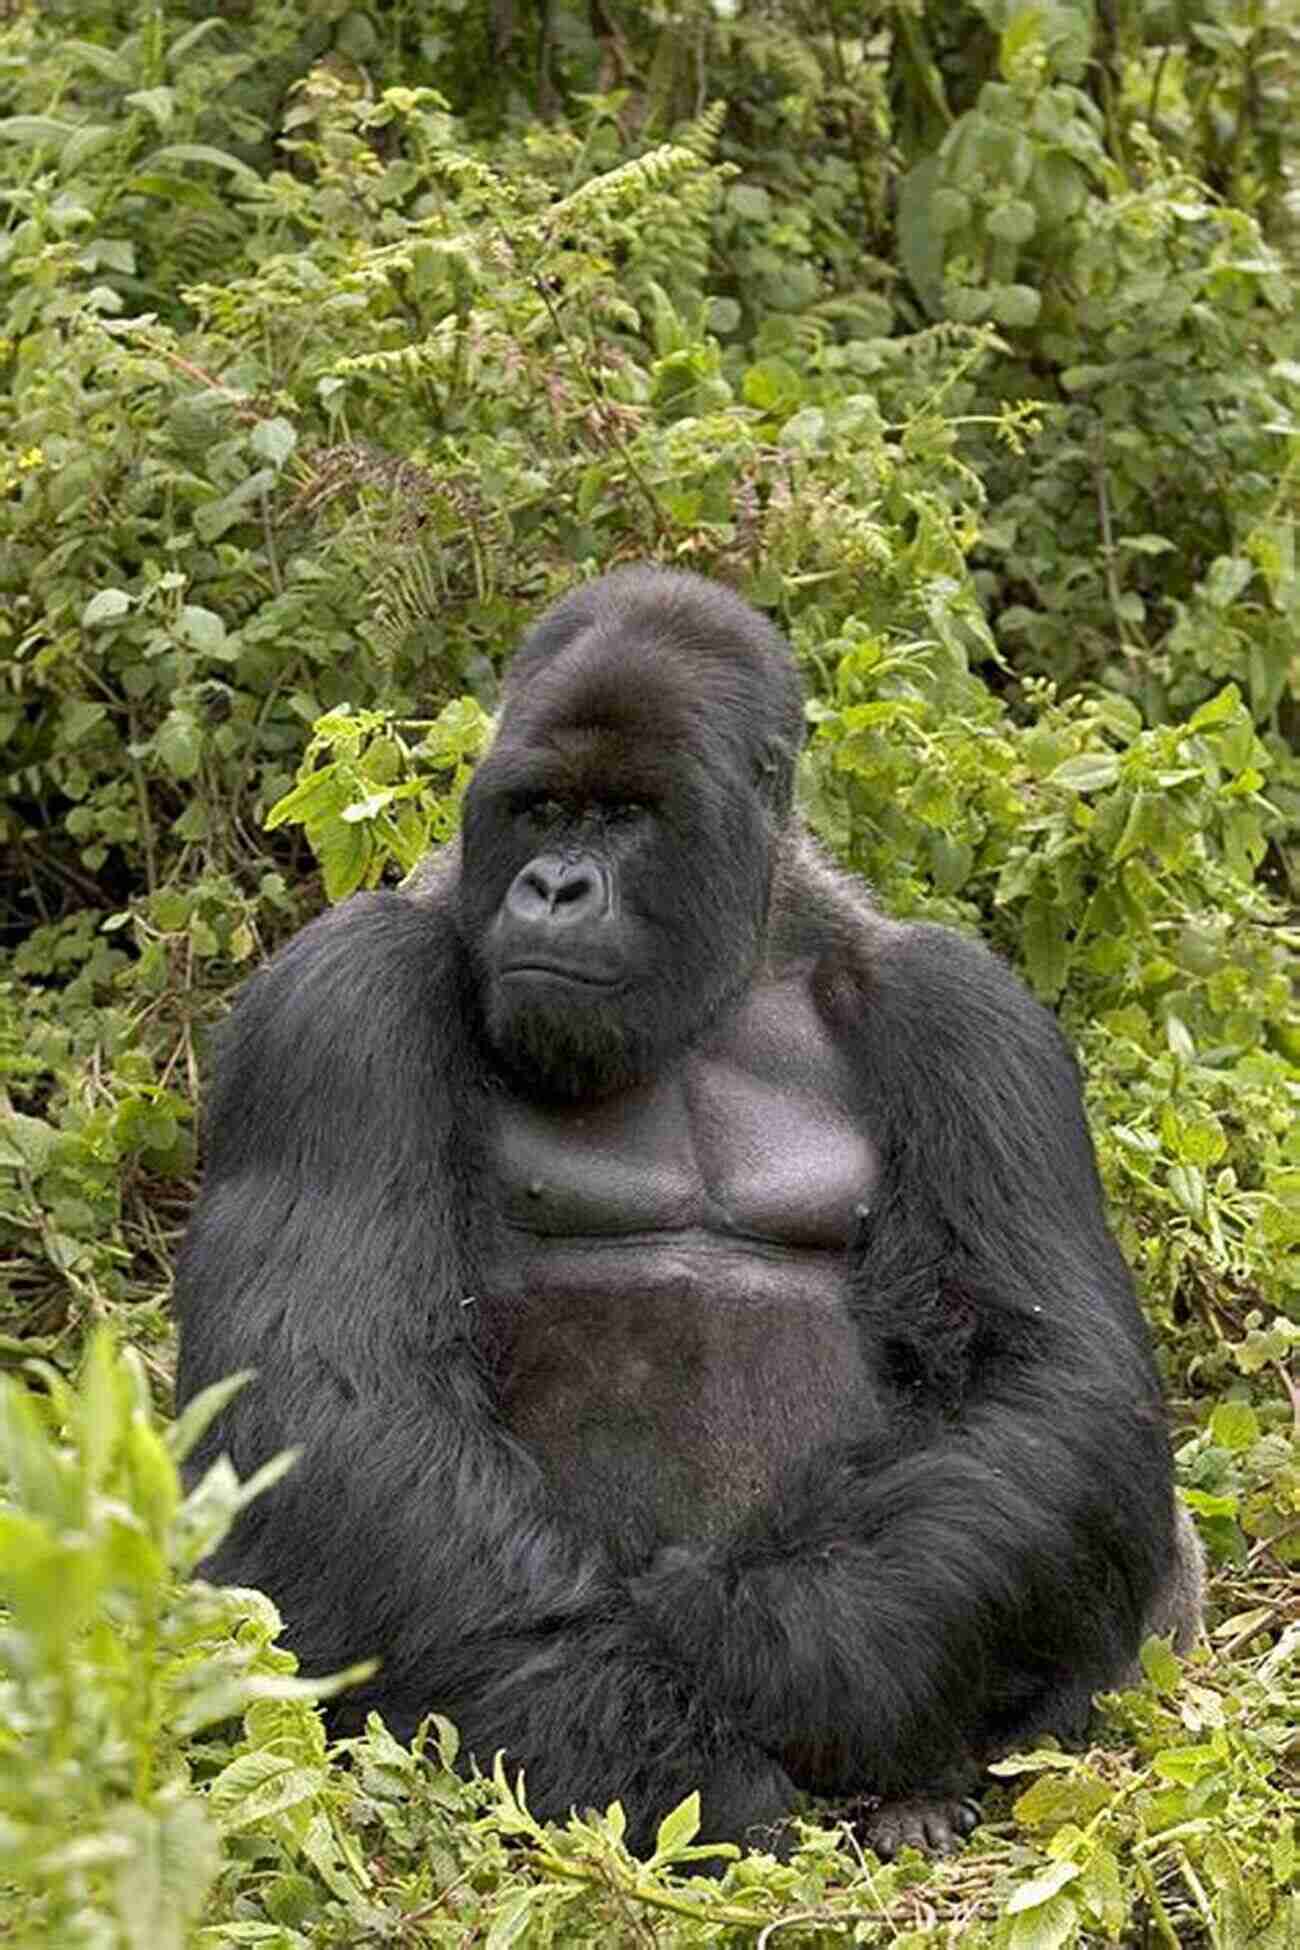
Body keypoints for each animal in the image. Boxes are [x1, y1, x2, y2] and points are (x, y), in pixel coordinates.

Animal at [178, 565, 1208, 1856]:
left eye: (626, 815)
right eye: (540, 810)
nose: (555, 887)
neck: (728, 974)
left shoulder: (972, 1019)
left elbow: (1050, 1377)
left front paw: (751, 1638)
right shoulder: (334, 997)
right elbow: (327, 1389)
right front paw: (681, 1768)